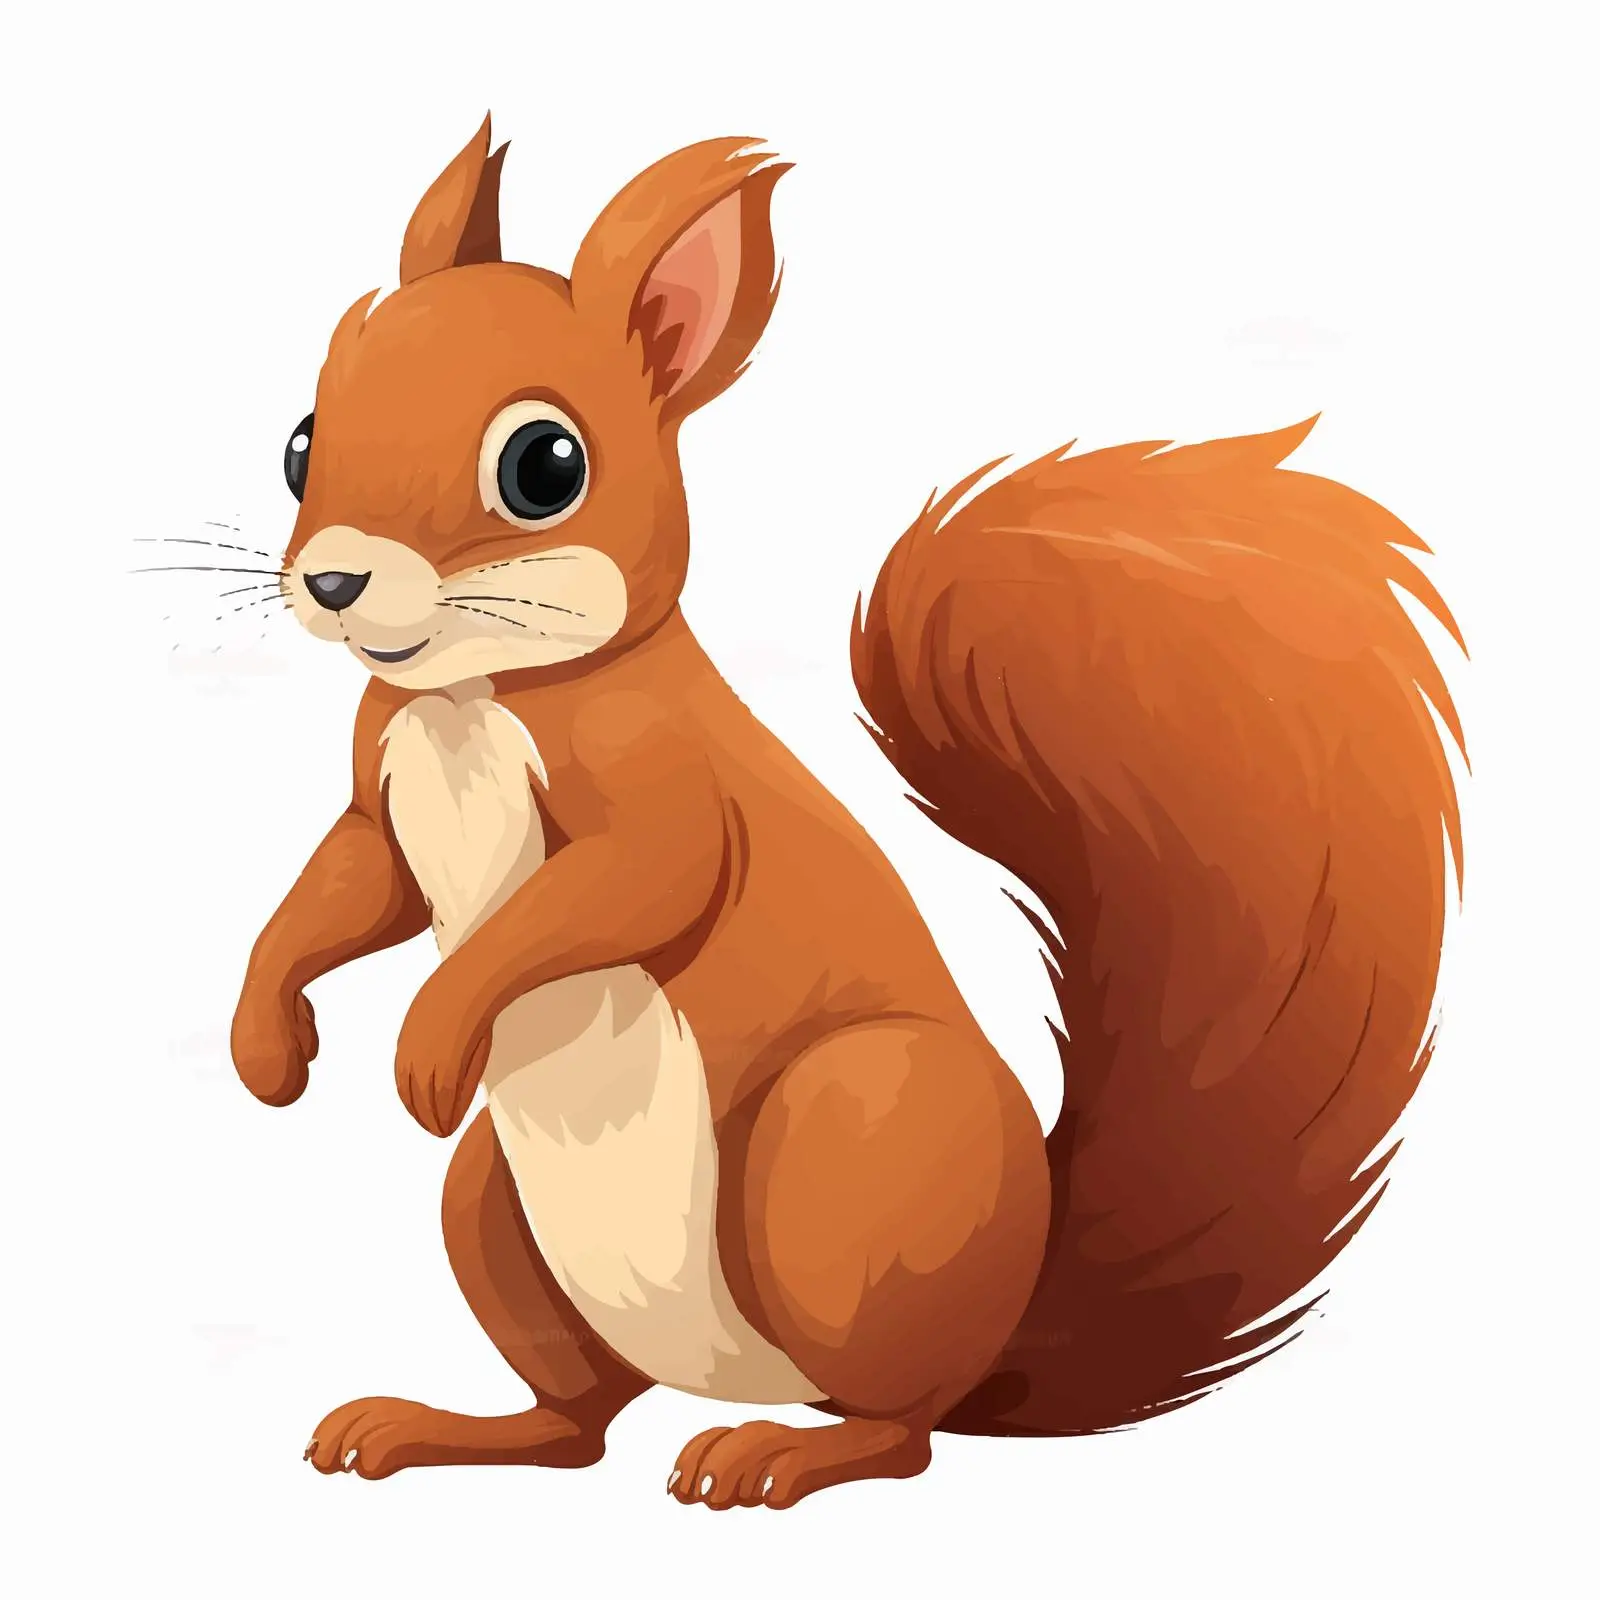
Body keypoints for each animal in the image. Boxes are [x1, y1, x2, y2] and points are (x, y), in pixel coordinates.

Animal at [229, 113, 1465, 1510]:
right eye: (300, 438)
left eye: (545, 464)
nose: (334, 581)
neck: (472, 698)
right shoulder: (381, 803)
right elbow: (342, 890)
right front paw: (266, 1043)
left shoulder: (664, 786)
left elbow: (627, 885)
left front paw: (431, 1040)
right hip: (492, 1208)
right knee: (578, 1418)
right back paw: (434, 1426)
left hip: (849, 1141)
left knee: (900, 1429)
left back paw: (776, 1454)